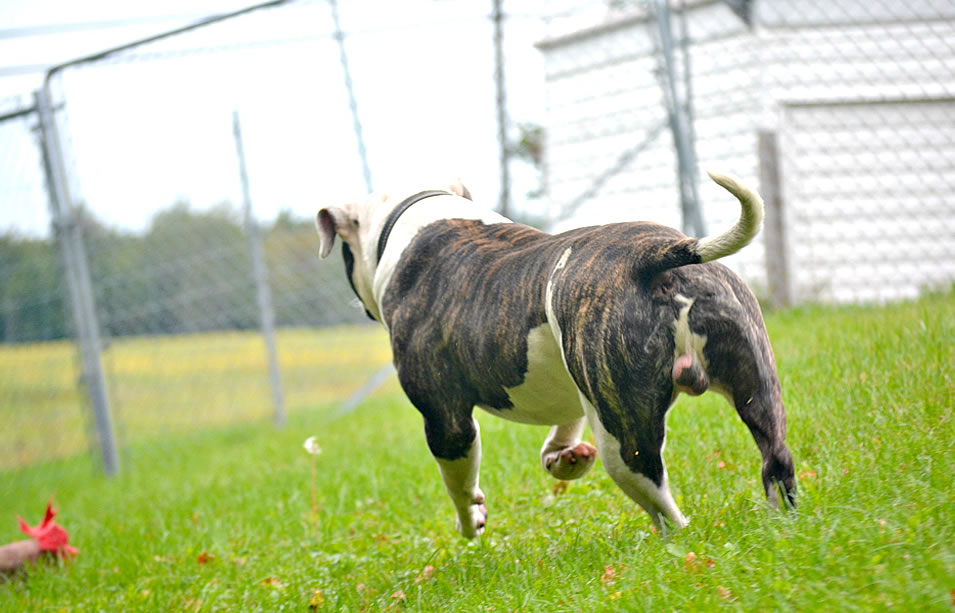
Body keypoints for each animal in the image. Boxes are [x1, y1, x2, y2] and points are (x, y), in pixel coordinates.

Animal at [318, 172, 796, 536]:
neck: (412, 215)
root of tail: (657, 255)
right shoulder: (575, 390)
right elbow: (565, 427)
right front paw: (565, 459)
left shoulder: (446, 421)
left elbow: (459, 484)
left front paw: (471, 521)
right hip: (754, 383)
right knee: (776, 457)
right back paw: (781, 524)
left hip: (624, 439)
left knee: (662, 503)